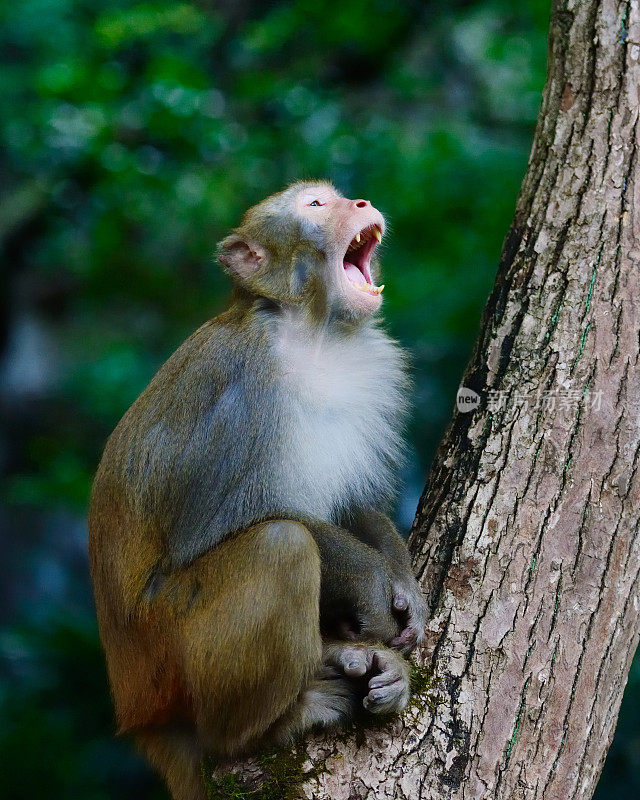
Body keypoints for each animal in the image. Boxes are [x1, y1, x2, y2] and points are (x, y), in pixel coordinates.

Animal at [87, 183, 428, 800]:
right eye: (315, 204)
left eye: (337, 195)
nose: (360, 203)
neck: (316, 336)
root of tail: (139, 715)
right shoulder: (242, 391)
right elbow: (205, 533)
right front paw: (371, 580)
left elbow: (354, 503)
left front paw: (401, 582)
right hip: (167, 661)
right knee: (282, 547)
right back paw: (261, 729)